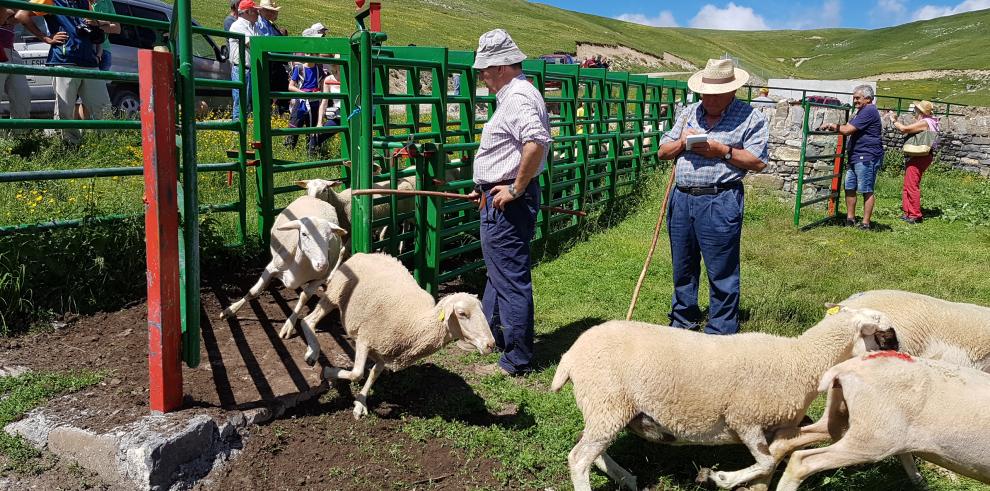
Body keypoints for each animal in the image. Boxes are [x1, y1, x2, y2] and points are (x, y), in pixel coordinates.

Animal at [222, 196, 348, 358]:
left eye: (329, 236)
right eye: (304, 234)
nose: (322, 264)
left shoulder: (318, 279)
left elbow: (304, 298)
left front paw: (289, 325)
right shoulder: (271, 267)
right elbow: (254, 291)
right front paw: (230, 310)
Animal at [294, 254, 496, 418]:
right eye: (462, 314)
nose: (491, 344)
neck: (415, 324)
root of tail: (365, 254)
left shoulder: (385, 351)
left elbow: (373, 374)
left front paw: (360, 402)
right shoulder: (365, 337)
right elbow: (357, 373)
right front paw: (329, 372)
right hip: (335, 294)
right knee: (308, 321)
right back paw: (312, 353)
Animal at [552, 308, 900, 491]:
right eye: (886, 335)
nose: (902, 357)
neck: (802, 360)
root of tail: (570, 355)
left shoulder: (779, 427)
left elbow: (773, 460)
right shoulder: (744, 418)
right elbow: (767, 461)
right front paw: (719, 478)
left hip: (607, 408)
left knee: (588, 447)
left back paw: (625, 476)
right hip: (607, 402)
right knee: (579, 458)